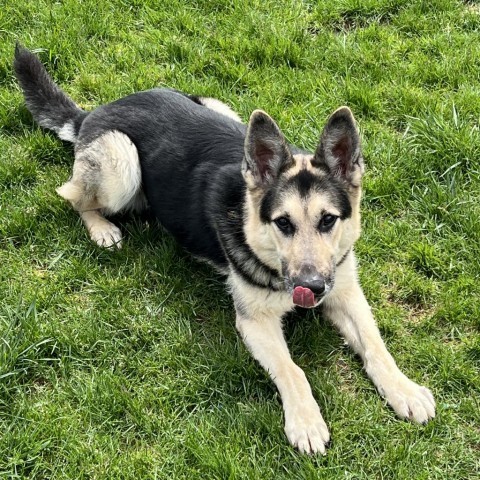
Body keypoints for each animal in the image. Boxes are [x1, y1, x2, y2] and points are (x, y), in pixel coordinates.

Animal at [14, 45, 436, 454]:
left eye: (328, 220)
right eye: (283, 223)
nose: (312, 287)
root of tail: (94, 112)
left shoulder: (346, 292)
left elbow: (376, 345)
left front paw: (403, 389)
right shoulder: (255, 323)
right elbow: (293, 370)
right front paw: (306, 421)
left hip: (221, 106)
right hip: (122, 161)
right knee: (72, 195)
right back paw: (102, 228)